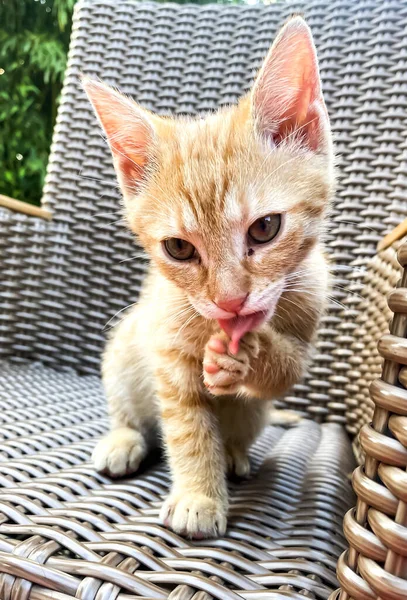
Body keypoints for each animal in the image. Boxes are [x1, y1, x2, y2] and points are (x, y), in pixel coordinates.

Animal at [83, 16, 334, 536]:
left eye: (265, 227)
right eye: (179, 248)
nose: (231, 300)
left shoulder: (306, 330)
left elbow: (285, 368)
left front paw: (245, 356)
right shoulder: (165, 347)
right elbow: (187, 425)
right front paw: (198, 494)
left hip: (252, 410)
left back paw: (235, 455)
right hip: (124, 349)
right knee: (130, 412)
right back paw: (123, 440)